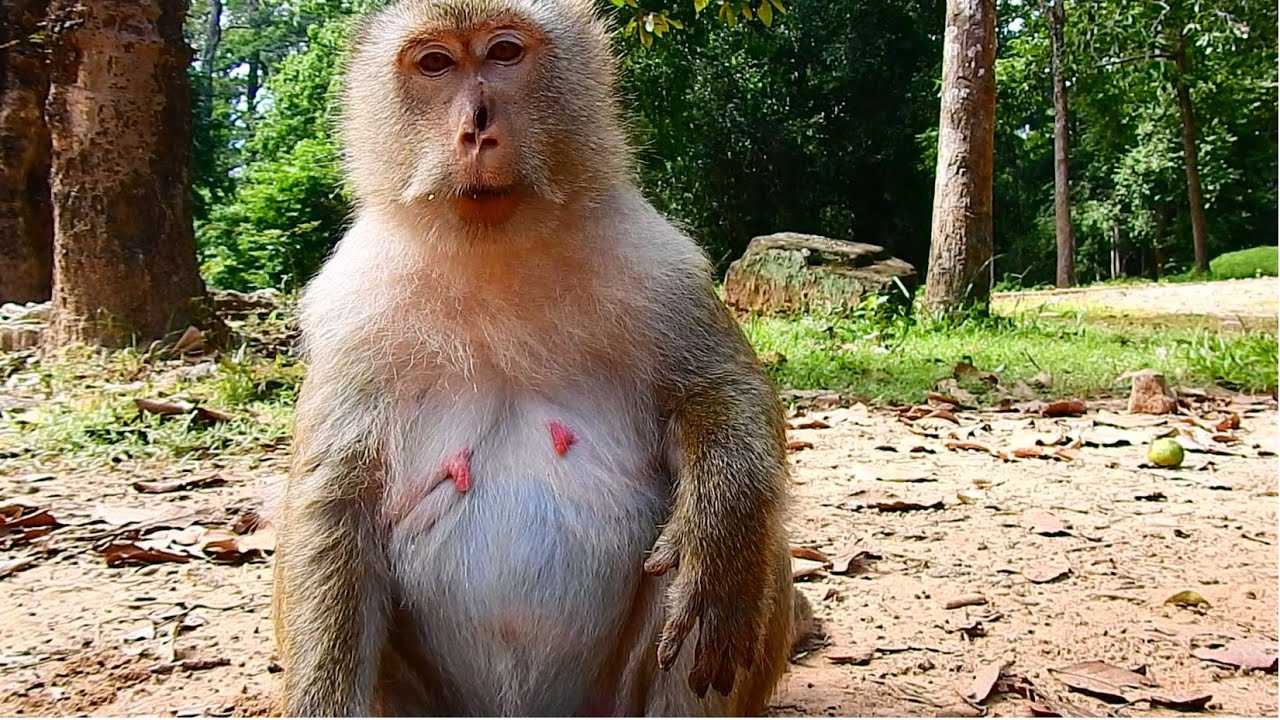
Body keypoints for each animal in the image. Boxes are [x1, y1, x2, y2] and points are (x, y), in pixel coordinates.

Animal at [270, 0, 797, 715]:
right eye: (435, 64)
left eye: (504, 52)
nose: (476, 124)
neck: (494, 251)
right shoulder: (352, 307)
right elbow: (333, 504)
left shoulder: (654, 258)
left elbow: (720, 393)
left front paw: (720, 544)